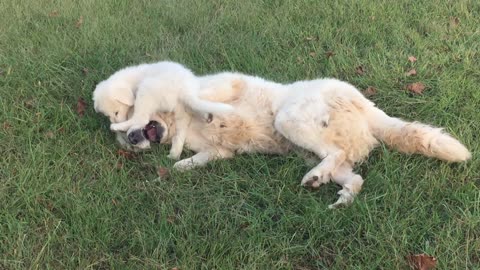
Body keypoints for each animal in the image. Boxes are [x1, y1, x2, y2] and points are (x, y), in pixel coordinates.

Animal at [94, 61, 234, 158]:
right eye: (108, 115)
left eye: (116, 112)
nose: (115, 122)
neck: (130, 82)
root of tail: (185, 90)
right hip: (181, 110)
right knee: (181, 130)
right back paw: (175, 153)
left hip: (147, 90)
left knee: (141, 118)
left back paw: (116, 127)